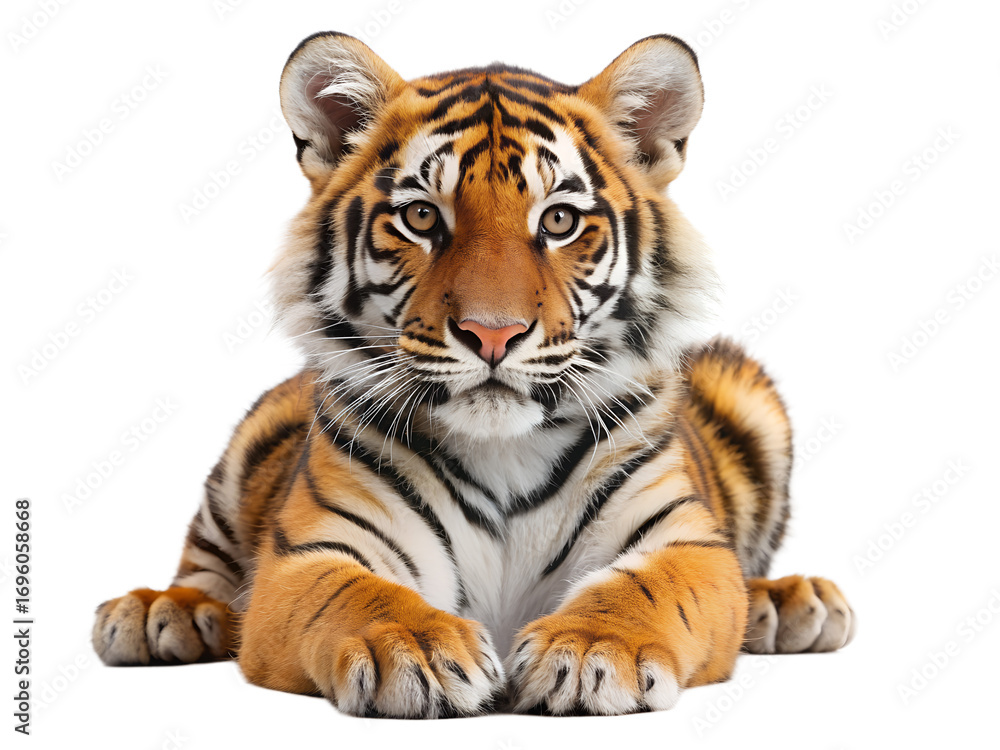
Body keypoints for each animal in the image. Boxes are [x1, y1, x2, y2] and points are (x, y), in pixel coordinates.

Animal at [92, 32, 855, 718]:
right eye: (421, 216)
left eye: (559, 220)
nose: (493, 333)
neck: (504, 451)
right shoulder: (312, 551)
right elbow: (356, 594)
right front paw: (416, 650)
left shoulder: (684, 542)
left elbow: (644, 588)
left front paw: (588, 651)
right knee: (203, 565)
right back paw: (160, 613)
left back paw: (791, 602)